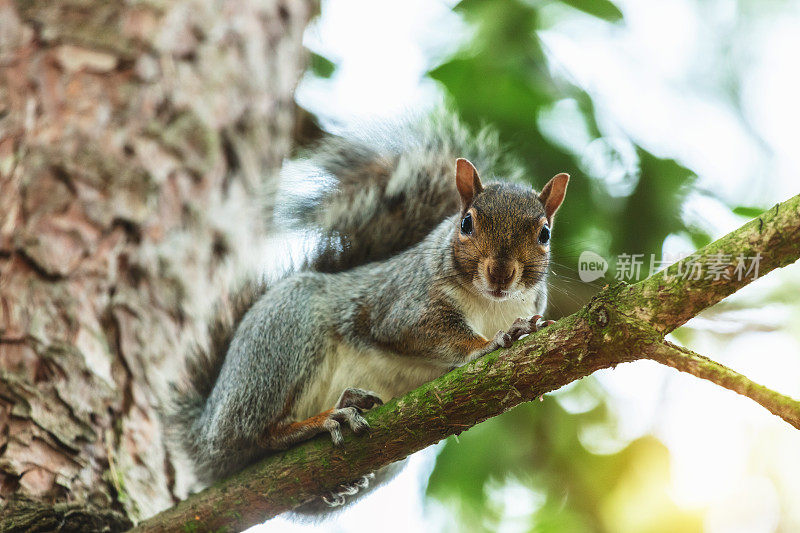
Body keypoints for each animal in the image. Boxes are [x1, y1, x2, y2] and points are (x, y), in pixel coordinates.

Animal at [164, 113, 568, 512]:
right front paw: (487, 343)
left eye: (545, 234)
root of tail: (205, 432)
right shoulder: (403, 303)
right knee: (255, 435)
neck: (491, 303)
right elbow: (424, 331)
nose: (500, 273)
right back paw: (323, 418)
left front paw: (528, 329)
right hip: (283, 335)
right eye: (466, 223)